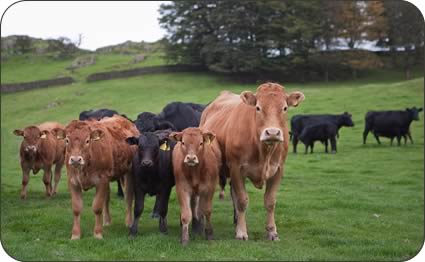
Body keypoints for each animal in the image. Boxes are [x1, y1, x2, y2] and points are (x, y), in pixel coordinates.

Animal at [200, 83, 304, 241]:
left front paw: (272, 232)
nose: (272, 132)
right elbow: (242, 201)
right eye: (258, 108)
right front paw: (241, 232)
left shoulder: (278, 169)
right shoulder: (236, 168)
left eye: (285, 108)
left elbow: (270, 201)